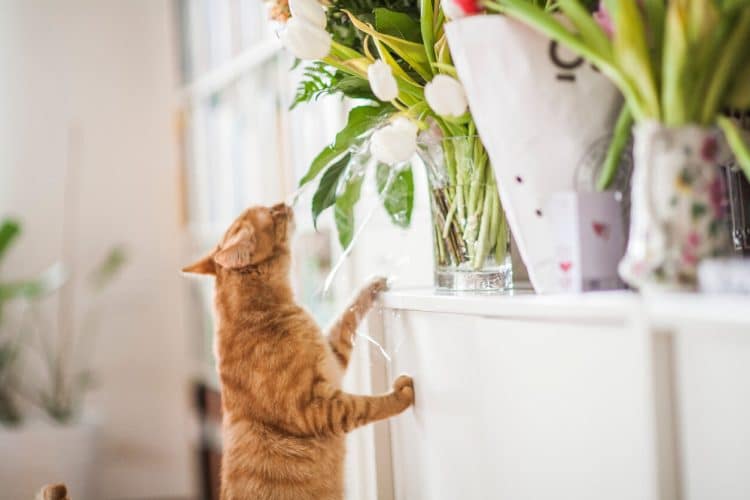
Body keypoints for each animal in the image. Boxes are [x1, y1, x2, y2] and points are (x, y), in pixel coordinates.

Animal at [184, 204, 418, 500]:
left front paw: (372, 285)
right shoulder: (315, 409)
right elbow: (365, 405)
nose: (284, 204)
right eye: (270, 214)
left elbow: (347, 316)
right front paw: (401, 395)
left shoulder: (332, 357)